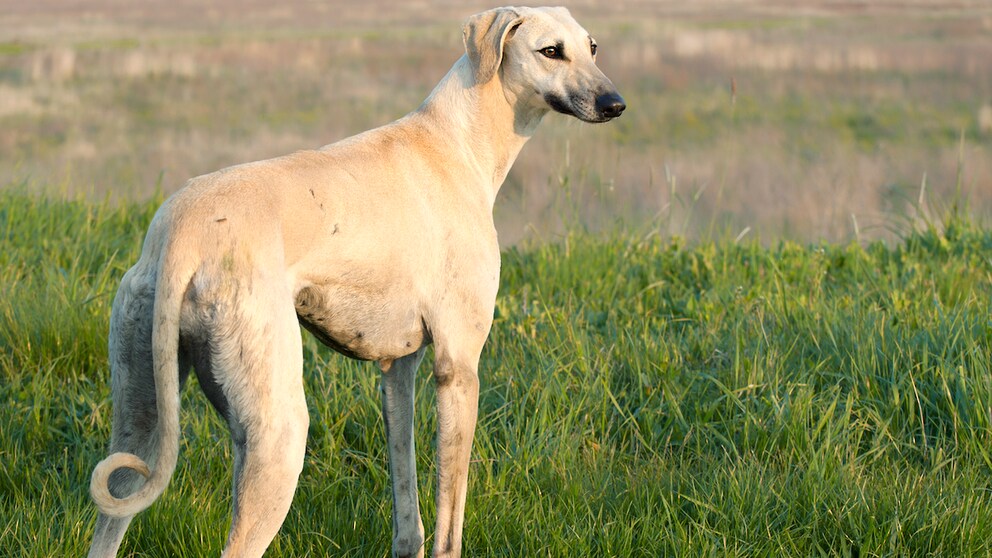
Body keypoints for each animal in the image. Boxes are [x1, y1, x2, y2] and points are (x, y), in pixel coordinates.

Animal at [89, 5, 624, 558]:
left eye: (592, 47)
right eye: (550, 51)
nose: (615, 104)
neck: (456, 139)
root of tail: (181, 231)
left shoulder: (398, 369)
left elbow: (408, 511)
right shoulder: (458, 369)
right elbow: (449, 525)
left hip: (140, 421)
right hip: (279, 434)